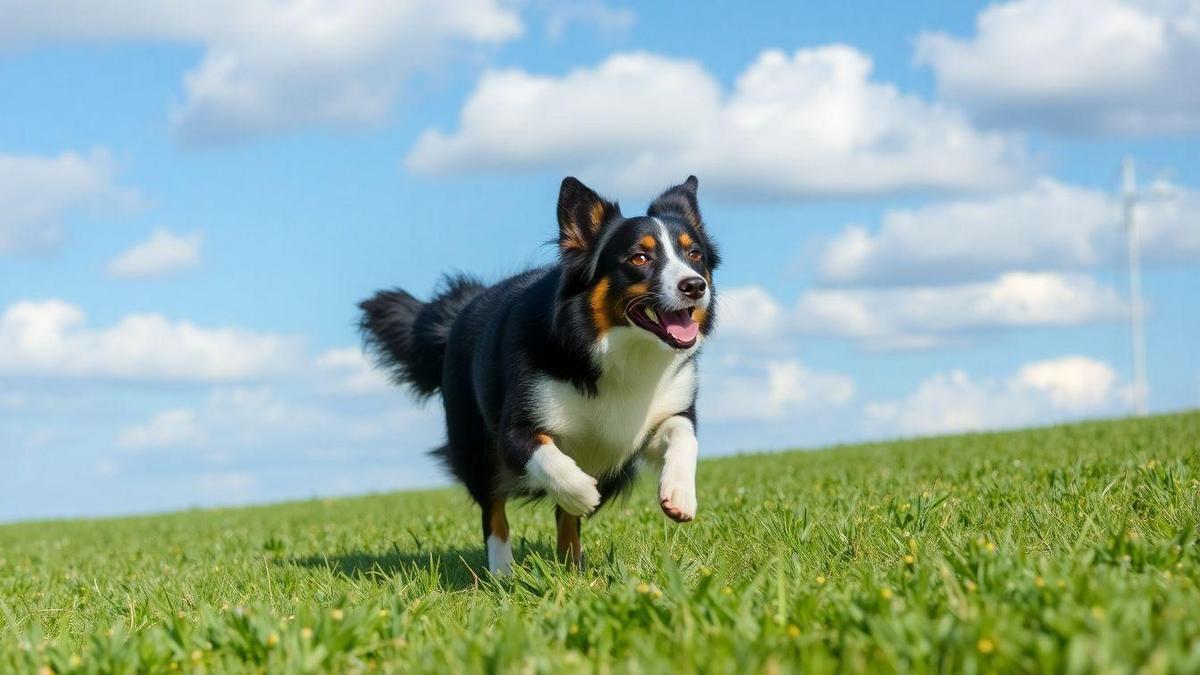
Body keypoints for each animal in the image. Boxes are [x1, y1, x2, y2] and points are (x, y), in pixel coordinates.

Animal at [355, 174, 710, 571]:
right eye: (640, 257)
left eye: (694, 255)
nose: (695, 285)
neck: (618, 351)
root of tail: (460, 309)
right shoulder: (514, 428)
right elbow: (548, 458)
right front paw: (583, 491)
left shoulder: (660, 413)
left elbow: (684, 434)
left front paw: (679, 494)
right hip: (474, 445)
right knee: (494, 510)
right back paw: (503, 572)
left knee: (563, 519)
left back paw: (572, 567)